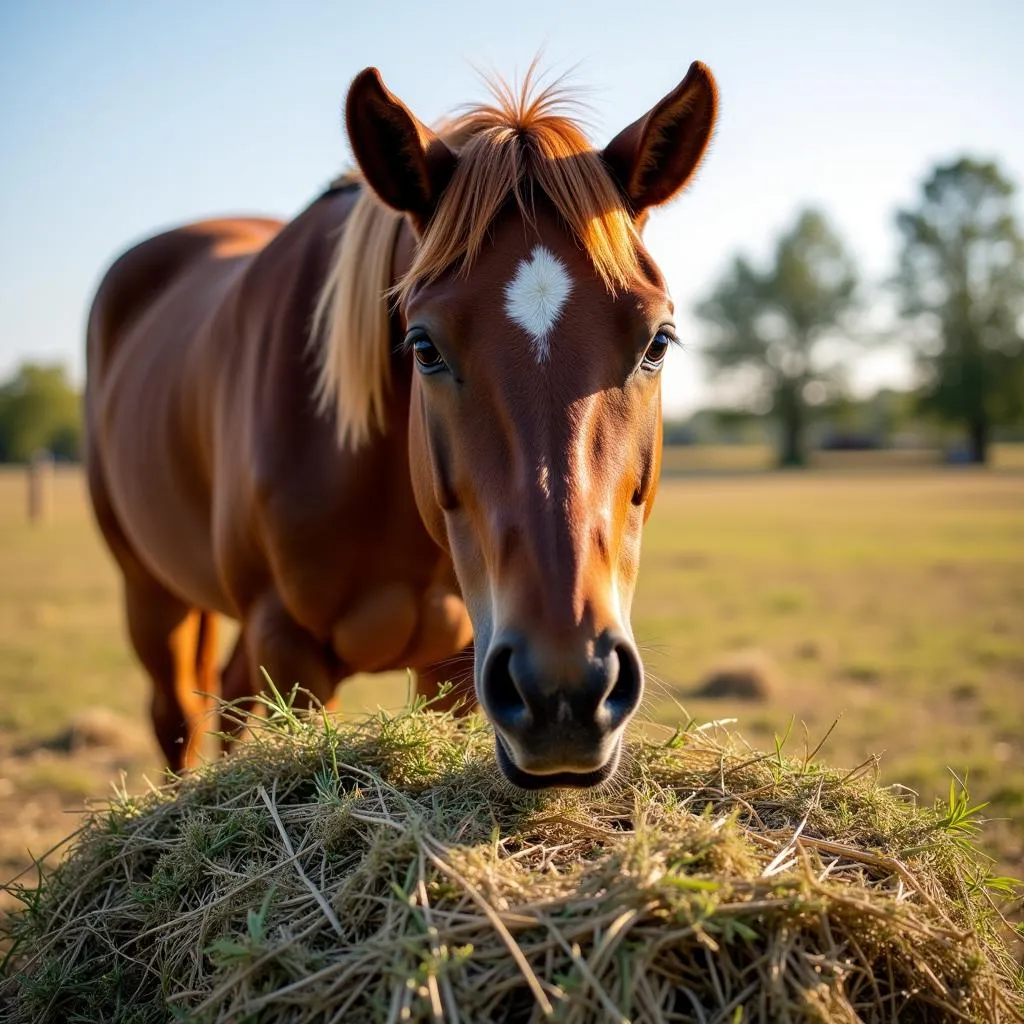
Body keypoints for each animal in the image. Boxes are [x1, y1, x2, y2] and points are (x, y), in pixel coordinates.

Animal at [83, 61, 716, 782]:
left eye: (657, 341)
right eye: (424, 347)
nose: (567, 688)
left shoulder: (460, 664)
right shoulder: (290, 652)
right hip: (151, 595)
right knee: (180, 717)